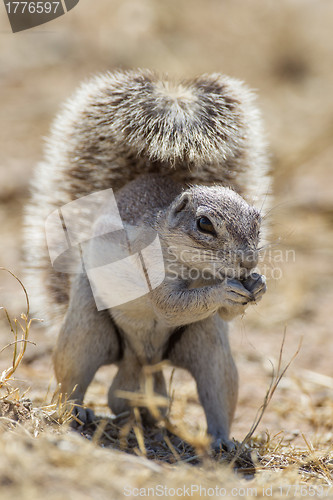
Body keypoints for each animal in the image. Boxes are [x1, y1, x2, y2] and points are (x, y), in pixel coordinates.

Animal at [25, 69, 270, 450]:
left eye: (258, 223)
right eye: (204, 224)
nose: (246, 264)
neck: (197, 269)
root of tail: (142, 361)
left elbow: (226, 313)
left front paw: (258, 285)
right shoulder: (148, 268)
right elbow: (167, 303)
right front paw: (220, 293)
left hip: (208, 346)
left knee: (216, 391)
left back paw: (219, 439)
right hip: (86, 329)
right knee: (73, 375)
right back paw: (76, 410)